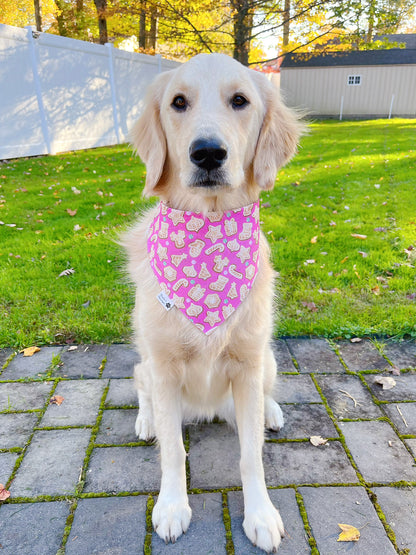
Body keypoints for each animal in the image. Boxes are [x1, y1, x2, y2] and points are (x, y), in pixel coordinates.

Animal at [122, 53, 300, 552]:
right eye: (178, 103)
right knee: (141, 391)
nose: (206, 153)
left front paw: (260, 513)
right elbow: (172, 450)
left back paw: (271, 412)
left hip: (267, 358)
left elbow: (251, 455)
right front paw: (171, 507)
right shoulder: (162, 367)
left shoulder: (247, 363)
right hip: (144, 363)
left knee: (264, 397)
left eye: (239, 101)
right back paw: (145, 421)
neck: (211, 230)